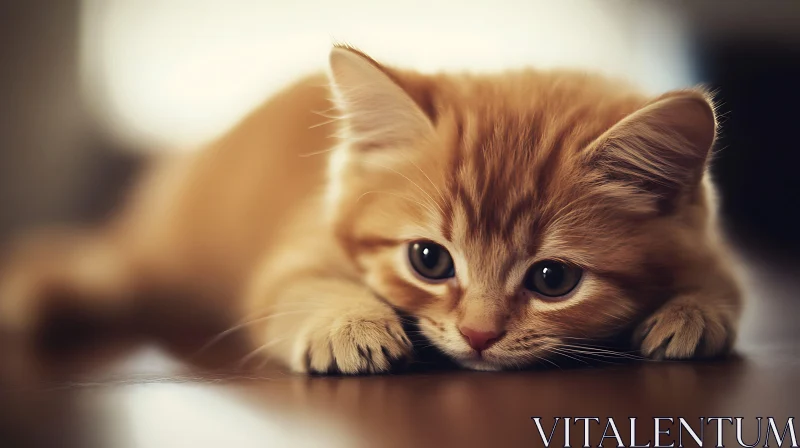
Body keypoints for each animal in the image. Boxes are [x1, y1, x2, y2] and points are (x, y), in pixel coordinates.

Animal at [0, 46, 744, 374]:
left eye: (552, 279)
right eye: (429, 260)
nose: (478, 336)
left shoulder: (707, 242)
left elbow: (725, 284)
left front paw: (692, 312)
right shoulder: (297, 250)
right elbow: (298, 285)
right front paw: (349, 324)